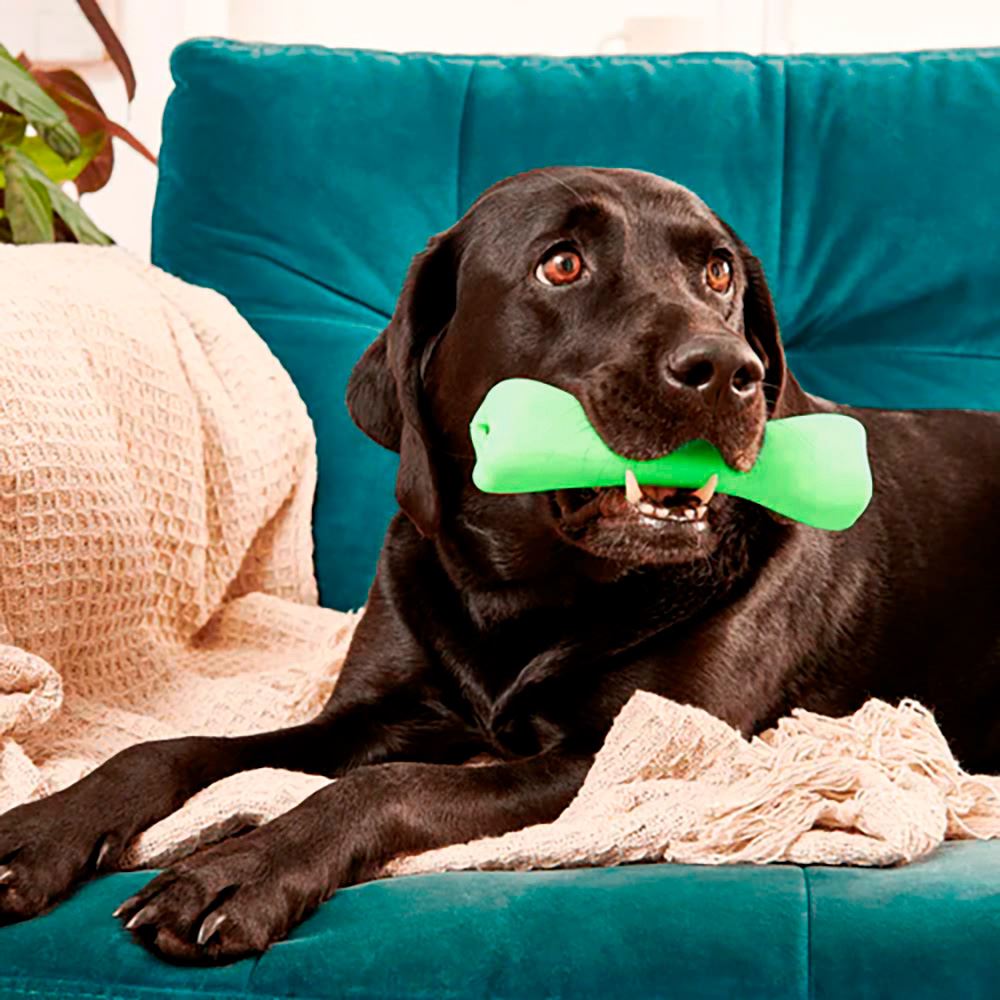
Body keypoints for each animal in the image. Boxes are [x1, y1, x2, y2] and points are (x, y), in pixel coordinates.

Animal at [1, 167, 997, 964]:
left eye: (717, 271)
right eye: (561, 264)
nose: (728, 370)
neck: (522, 593)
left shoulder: (630, 755)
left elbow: (390, 784)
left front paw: (236, 870)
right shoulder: (376, 711)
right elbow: (175, 749)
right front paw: (43, 829)